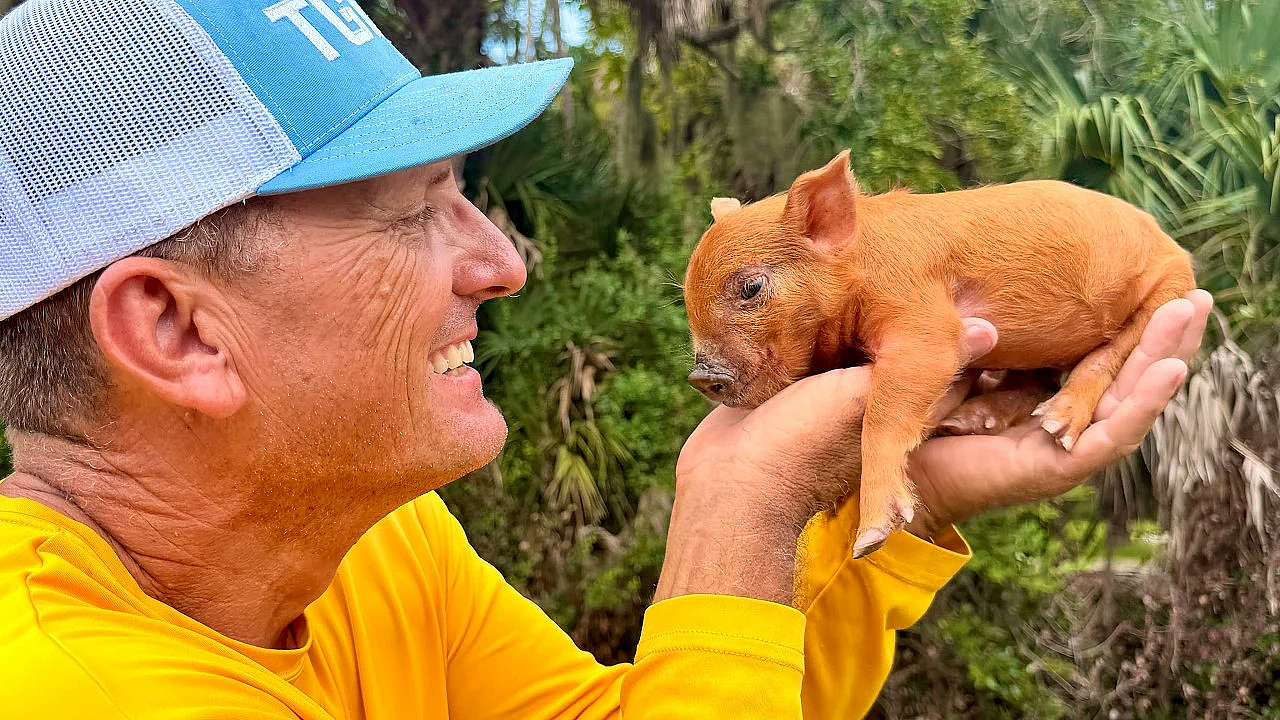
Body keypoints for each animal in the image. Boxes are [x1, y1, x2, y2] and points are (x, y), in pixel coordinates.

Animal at [682, 150, 1194, 557]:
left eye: (751, 287)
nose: (701, 376)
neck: (860, 268)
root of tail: (1172, 243)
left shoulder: (922, 315)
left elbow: (887, 407)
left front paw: (869, 541)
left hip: (1171, 289)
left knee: (1108, 353)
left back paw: (1057, 426)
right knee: (1036, 380)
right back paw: (969, 422)